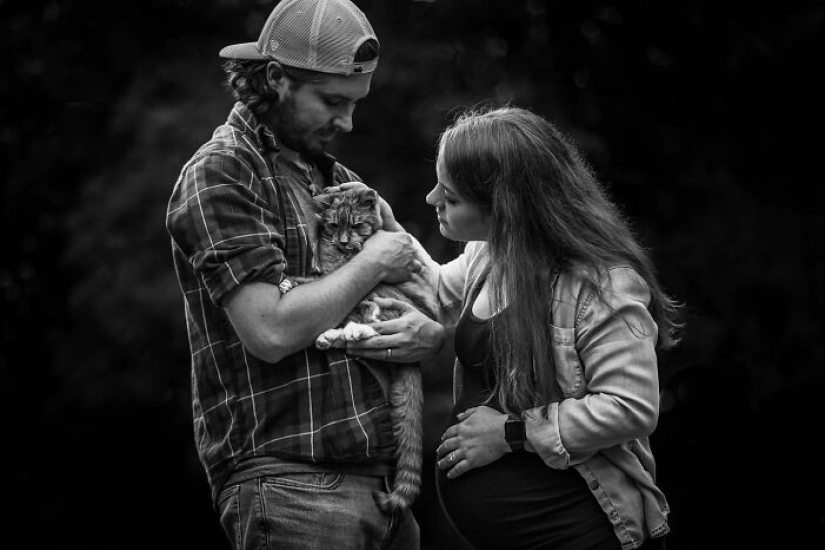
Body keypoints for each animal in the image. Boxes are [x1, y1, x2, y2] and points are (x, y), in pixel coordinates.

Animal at [284, 188, 438, 516]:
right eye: (333, 225)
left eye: (356, 225)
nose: (343, 241)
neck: (342, 255)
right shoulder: (331, 274)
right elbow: (314, 278)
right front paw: (289, 280)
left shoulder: (349, 278)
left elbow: (317, 280)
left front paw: (292, 280)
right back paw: (331, 335)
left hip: (378, 293)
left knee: (373, 320)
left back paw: (354, 331)